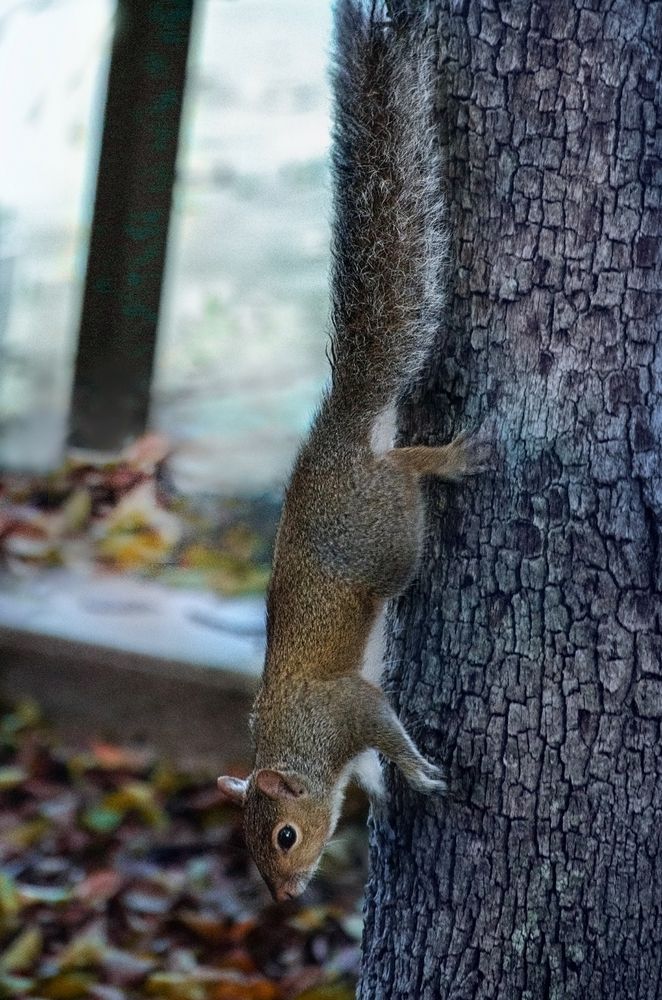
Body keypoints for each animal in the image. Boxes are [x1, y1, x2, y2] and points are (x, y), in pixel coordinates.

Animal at [218, 0, 482, 902]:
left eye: (285, 836)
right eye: (249, 851)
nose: (288, 896)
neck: (290, 742)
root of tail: (338, 434)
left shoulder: (346, 708)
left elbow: (383, 729)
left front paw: (416, 771)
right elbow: (370, 765)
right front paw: (386, 786)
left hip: (383, 533)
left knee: (402, 479)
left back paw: (442, 461)